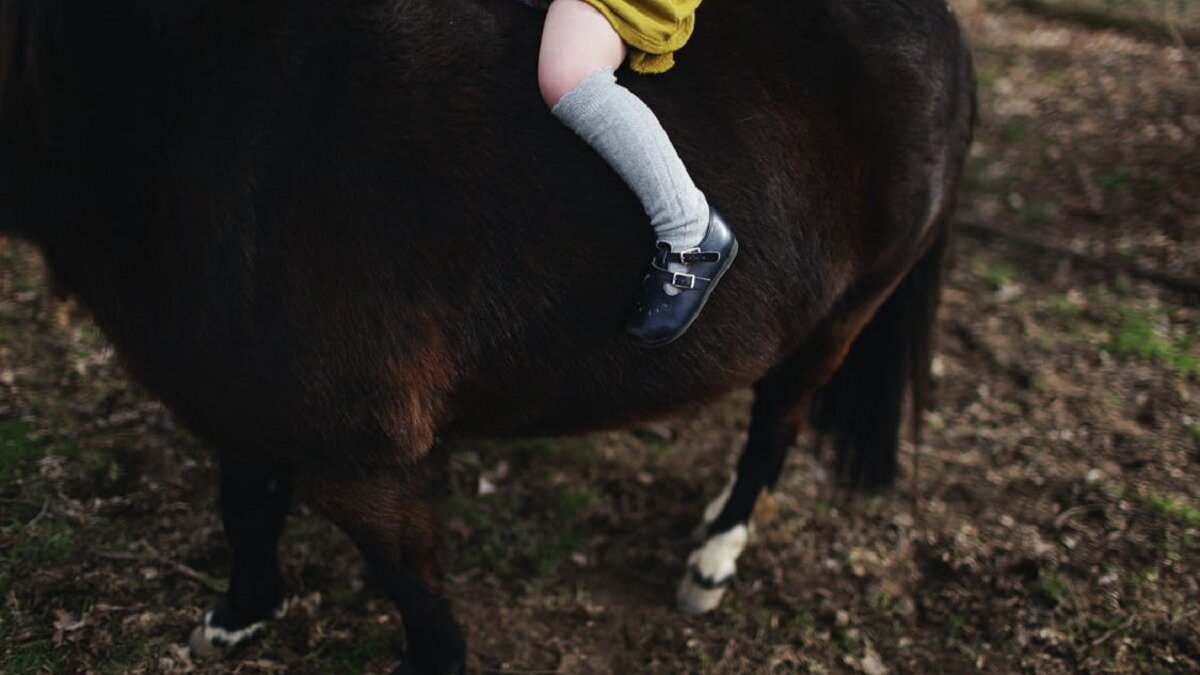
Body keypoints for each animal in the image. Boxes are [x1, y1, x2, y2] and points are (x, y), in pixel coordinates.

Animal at [0, 0, 975, 672]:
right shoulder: (241, 398)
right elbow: (245, 505)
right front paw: (239, 615)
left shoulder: (365, 456)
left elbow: (410, 584)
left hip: (840, 316)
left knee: (776, 421)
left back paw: (712, 558)